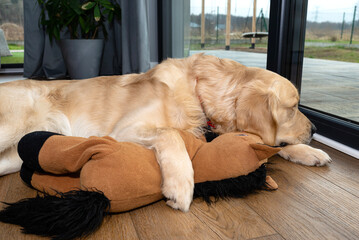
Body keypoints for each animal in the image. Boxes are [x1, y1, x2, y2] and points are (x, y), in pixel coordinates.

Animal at [0, 53, 332, 211]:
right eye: (293, 107)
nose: (316, 129)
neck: (199, 92)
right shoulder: (127, 129)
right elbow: (172, 135)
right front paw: (181, 186)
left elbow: (277, 143)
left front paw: (310, 151)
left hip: (15, 155)